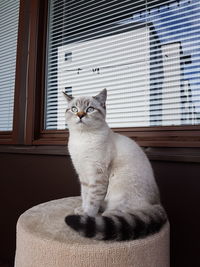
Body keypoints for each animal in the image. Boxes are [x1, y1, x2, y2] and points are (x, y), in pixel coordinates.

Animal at [63, 89, 166, 242]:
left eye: (90, 109)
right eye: (74, 109)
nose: (80, 115)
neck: (82, 138)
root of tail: (157, 203)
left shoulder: (97, 175)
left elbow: (92, 200)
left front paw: (87, 215)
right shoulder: (83, 175)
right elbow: (85, 196)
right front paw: (82, 210)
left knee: (116, 217)